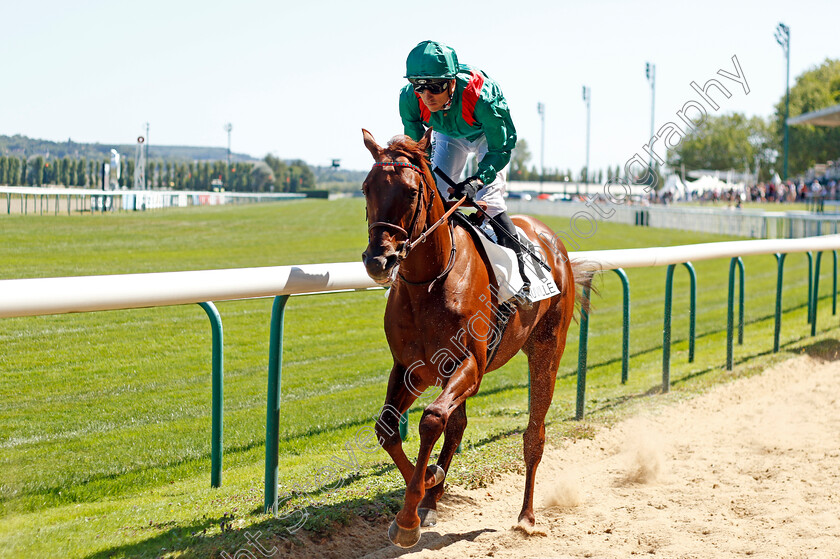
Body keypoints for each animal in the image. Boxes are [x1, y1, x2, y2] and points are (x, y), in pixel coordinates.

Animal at [362, 128, 592, 552]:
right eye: (368, 187)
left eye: (411, 192)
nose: (378, 260)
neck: (431, 281)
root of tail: (552, 241)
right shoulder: (411, 367)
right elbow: (388, 428)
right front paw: (428, 483)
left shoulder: (471, 364)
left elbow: (432, 420)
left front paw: (408, 517)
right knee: (458, 425)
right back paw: (434, 497)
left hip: (547, 347)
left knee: (534, 433)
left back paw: (526, 517)